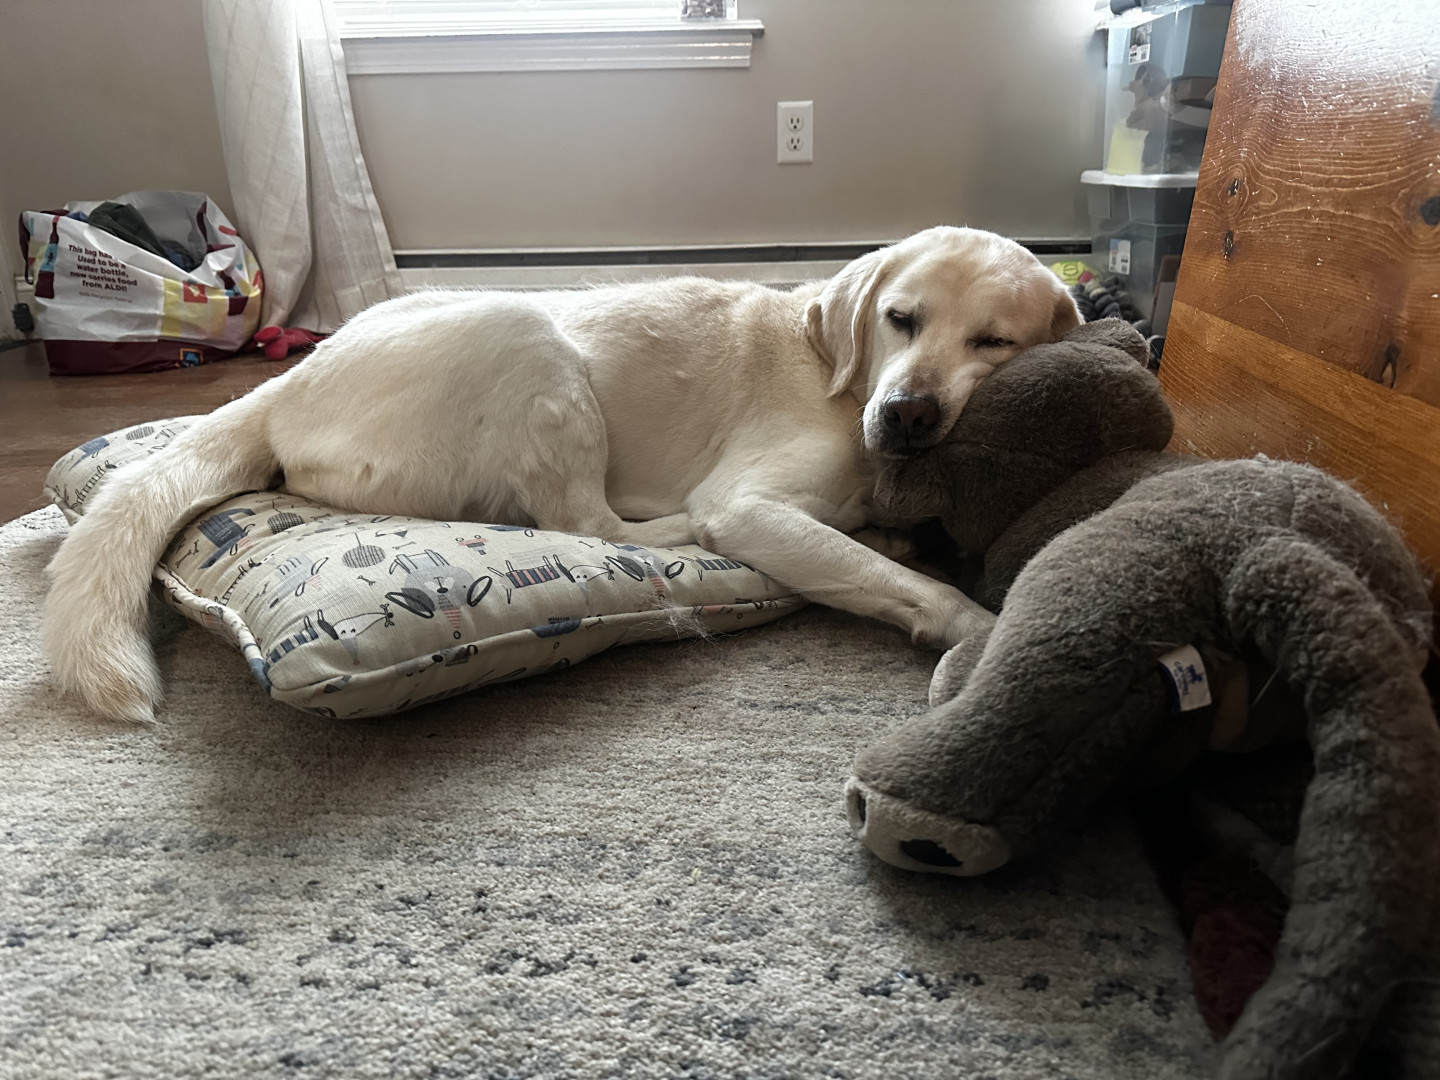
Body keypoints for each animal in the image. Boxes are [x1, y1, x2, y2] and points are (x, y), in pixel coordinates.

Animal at [44, 225, 1081, 723]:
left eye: (994, 342)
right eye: (902, 319)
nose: (908, 415)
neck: (842, 372)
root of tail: (286, 383)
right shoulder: (750, 505)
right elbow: (900, 582)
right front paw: (980, 624)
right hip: (529, 337)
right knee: (596, 524)